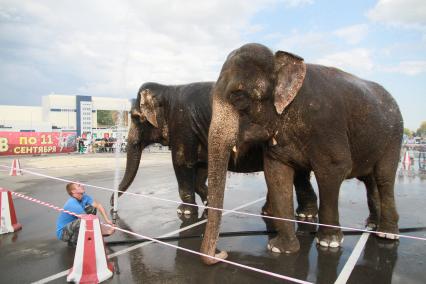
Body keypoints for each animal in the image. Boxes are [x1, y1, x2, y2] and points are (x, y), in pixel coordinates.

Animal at [114, 82, 320, 217]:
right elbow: (201, 169)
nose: (113, 209)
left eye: (135, 117)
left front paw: (185, 212)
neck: (168, 89)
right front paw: (209, 205)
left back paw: (304, 216)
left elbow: (181, 163)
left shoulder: (182, 125)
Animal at [201, 42, 404, 264]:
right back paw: (373, 224)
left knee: (384, 177)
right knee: (370, 180)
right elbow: (276, 174)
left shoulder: (326, 124)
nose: (222, 253)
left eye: (238, 97)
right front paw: (281, 249)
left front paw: (329, 243)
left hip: (394, 135)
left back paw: (387, 233)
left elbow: (334, 168)